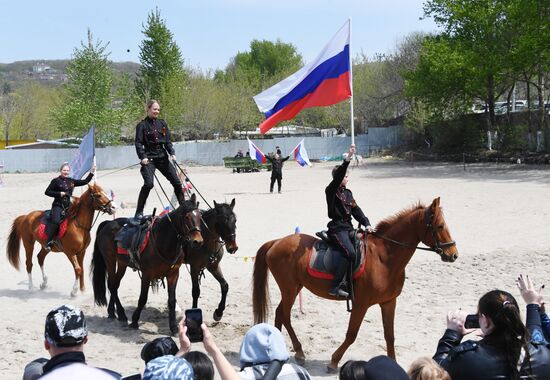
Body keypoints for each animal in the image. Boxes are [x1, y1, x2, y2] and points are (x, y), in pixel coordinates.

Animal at [92, 194, 205, 334]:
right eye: (186, 217)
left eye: (199, 216)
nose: (198, 241)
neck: (162, 241)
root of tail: (108, 223)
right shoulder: (146, 274)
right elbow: (143, 298)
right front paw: (134, 321)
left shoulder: (173, 274)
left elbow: (171, 301)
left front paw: (173, 327)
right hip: (110, 259)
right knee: (112, 285)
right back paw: (122, 314)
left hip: (122, 263)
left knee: (115, 285)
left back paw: (112, 312)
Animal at [252, 197, 460, 370]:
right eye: (440, 226)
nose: (453, 255)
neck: (385, 257)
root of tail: (277, 242)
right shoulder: (361, 304)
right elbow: (352, 334)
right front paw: (334, 361)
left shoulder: (389, 302)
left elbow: (390, 335)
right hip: (290, 288)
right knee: (285, 315)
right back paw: (299, 352)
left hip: (294, 288)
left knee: (280, 313)